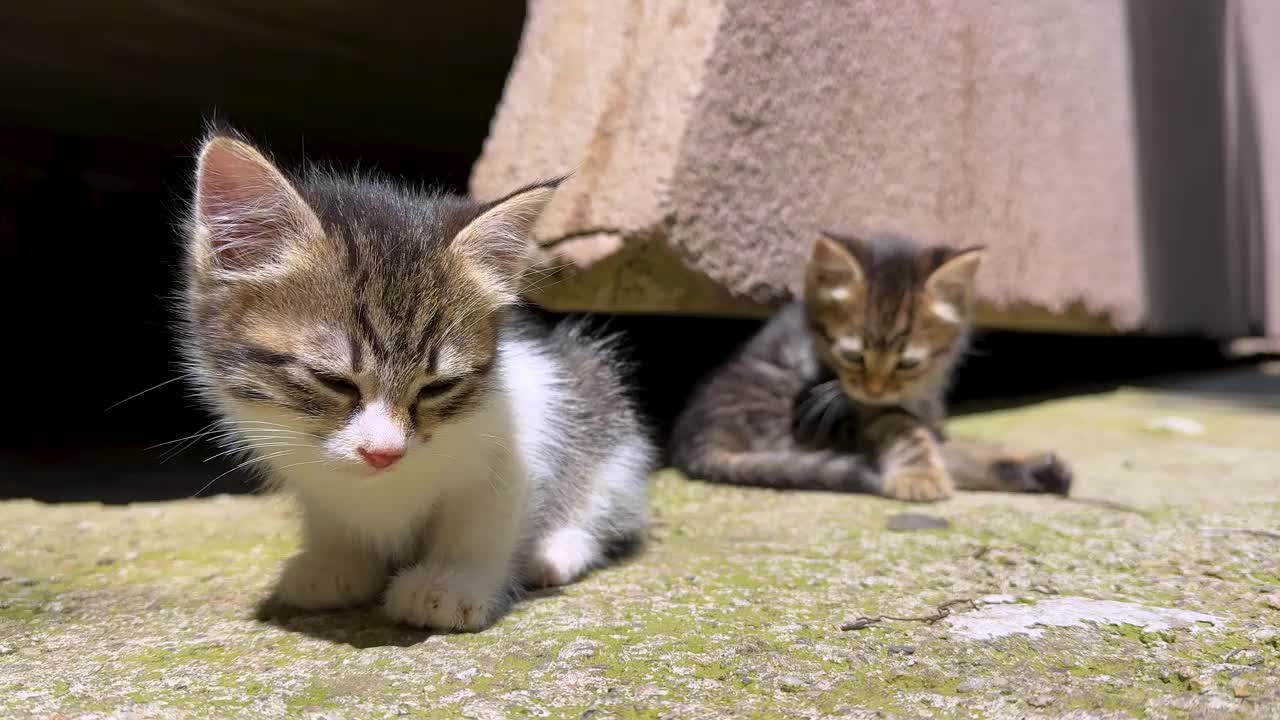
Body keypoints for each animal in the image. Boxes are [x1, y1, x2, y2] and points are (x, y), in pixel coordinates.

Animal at [179, 133, 655, 627]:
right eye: (334, 382)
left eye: (436, 388)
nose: (384, 453)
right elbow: (333, 515)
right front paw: (337, 562)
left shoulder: (525, 415)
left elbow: (484, 516)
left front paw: (450, 582)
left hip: (602, 408)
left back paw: (556, 551)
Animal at [670, 230, 1070, 499]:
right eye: (851, 356)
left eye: (908, 362)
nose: (874, 389)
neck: (917, 391)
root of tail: (695, 437)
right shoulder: (862, 411)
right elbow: (910, 433)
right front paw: (919, 477)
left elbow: (953, 440)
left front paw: (1032, 462)